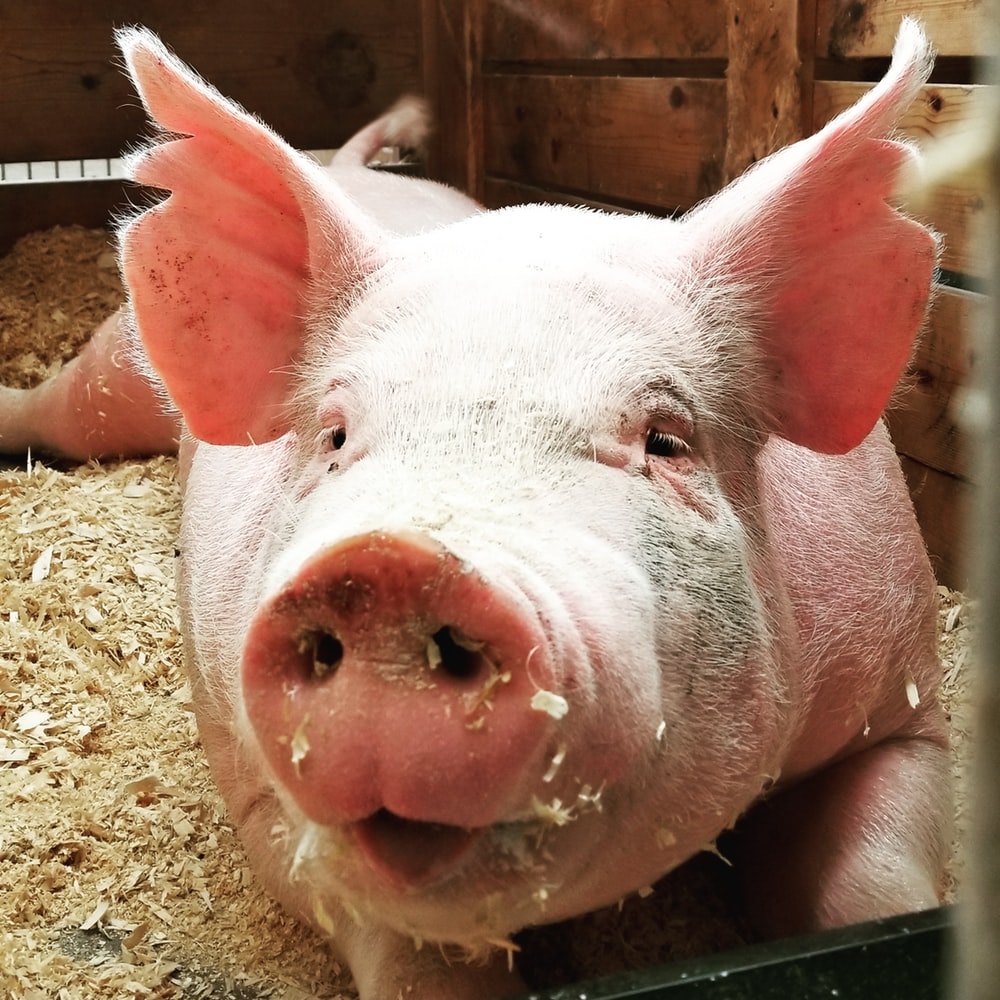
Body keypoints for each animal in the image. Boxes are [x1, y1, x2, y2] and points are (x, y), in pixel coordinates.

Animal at [0, 19, 951, 1000]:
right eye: (335, 435)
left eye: (665, 439)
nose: (391, 568)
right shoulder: (260, 793)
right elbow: (407, 950)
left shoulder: (905, 706)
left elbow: (879, 889)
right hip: (115, 365)